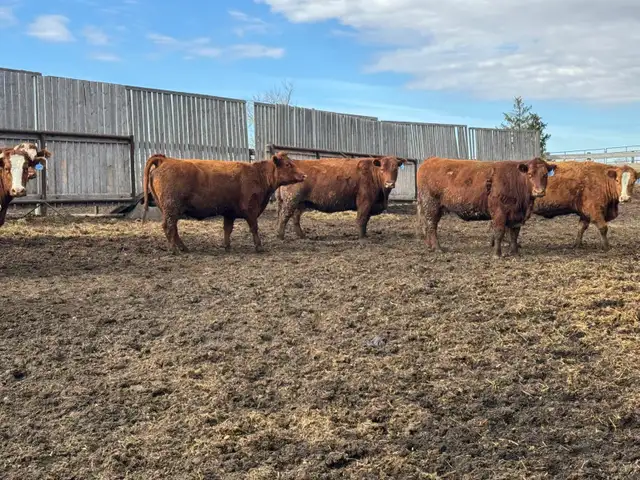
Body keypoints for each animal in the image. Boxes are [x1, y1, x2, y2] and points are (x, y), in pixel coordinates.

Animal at [141, 151, 307, 254]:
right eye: (288, 165)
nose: (304, 175)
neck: (258, 175)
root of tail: (165, 159)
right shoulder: (251, 210)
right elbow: (254, 228)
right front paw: (259, 247)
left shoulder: (229, 213)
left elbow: (227, 229)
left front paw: (227, 247)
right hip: (171, 208)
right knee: (168, 227)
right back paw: (174, 250)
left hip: (169, 209)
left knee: (174, 228)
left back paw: (184, 248)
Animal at [275, 156, 406, 240]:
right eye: (382, 169)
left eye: (395, 169)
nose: (389, 183)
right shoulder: (365, 202)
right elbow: (362, 219)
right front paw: (362, 238)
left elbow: (366, 220)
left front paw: (365, 235)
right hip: (291, 201)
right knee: (284, 217)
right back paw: (280, 236)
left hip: (301, 203)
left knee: (295, 218)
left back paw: (302, 236)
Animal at [416, 156, 556, 257]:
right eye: (530, 174)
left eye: (545, 175)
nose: (539, 191)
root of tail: (430, 160)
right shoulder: (499, 212)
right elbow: (499, 232)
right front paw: (497, 254)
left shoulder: (517, 216)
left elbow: (514, 234)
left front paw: (515, 253)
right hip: (431, 205)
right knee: (431, 226)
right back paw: (437, 248)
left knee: (427, 226)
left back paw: (430, 246)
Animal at [509, 161, 639, 250]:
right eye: (617, 180)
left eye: (633, 182)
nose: (625, 198)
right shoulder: (594, 210)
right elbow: (603, 228)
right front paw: (606, 246)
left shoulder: (584, 213)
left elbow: (581, 228)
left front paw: (577, 244)